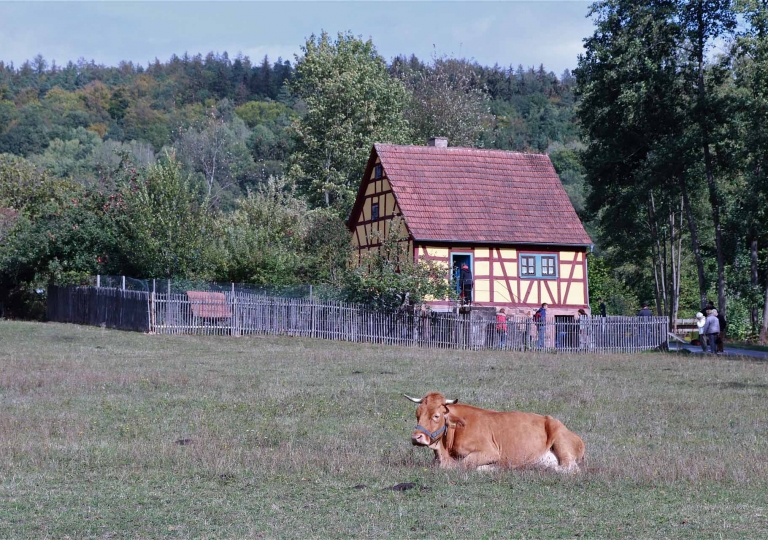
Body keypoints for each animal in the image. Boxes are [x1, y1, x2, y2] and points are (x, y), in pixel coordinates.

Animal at [404, 392, 584, 472]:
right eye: (417, 414)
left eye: (436, 415)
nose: (416, 437)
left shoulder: (490, 452)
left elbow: (466, 464)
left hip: (561, 442)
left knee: (569, 468)